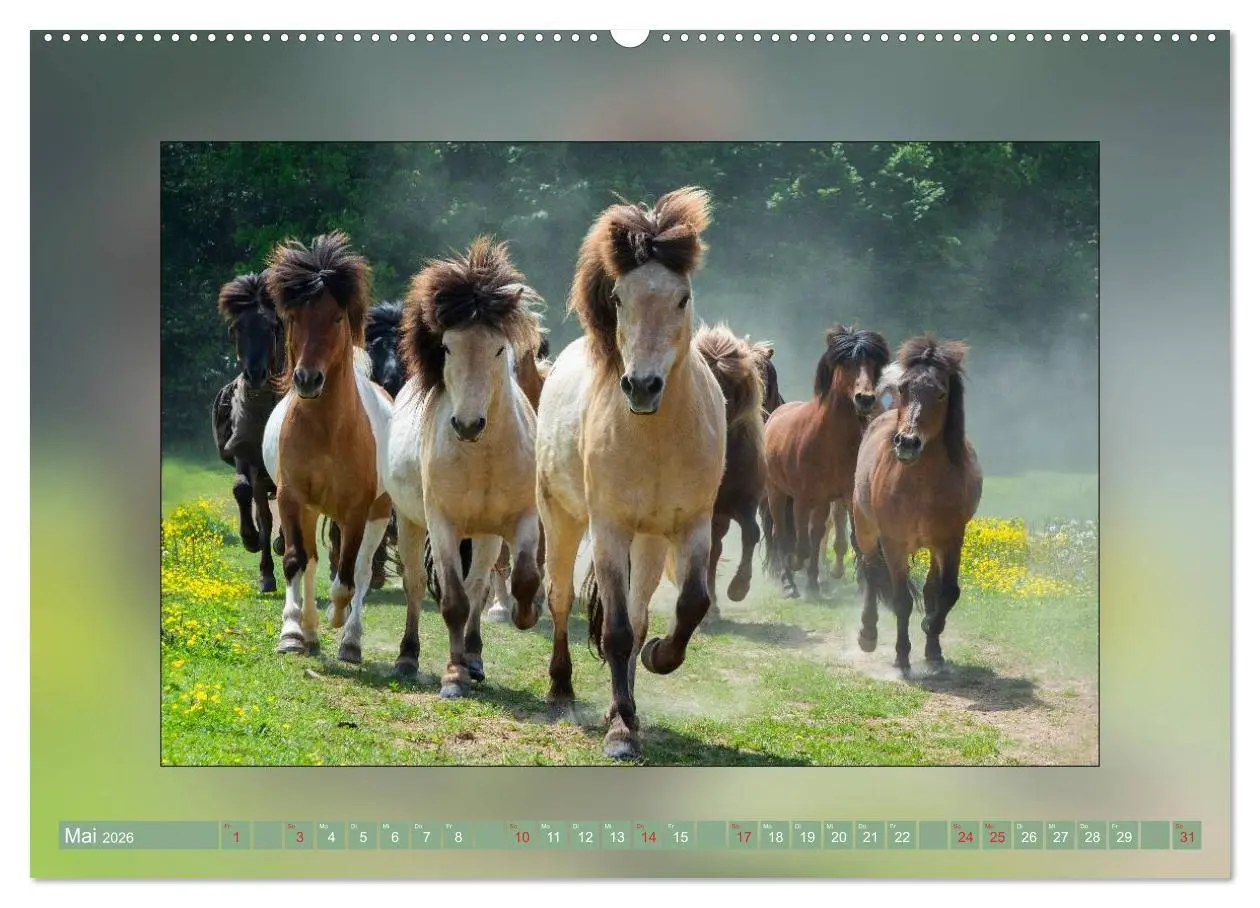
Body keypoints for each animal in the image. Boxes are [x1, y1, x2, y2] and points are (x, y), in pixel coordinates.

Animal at [261, 230, 394, 664]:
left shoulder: (356, 511)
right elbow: (295, 562)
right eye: (294, 318)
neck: (327, 431)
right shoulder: (291, 497)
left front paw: (339, 622)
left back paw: (349, 639)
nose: (307, 379)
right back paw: (310, 631)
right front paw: (291, 633)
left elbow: (347, 579)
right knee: (313, 562)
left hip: (378, 513)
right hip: (309, 508)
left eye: (336, 317)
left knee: (362, 571)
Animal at [385, 236, 545, 697]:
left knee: (478, 587)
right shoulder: (442, 525)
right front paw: (453, 676)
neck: (483, 457)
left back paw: (473, 656)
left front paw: (525, 614)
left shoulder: (522, 518)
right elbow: (453, 602)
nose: (469, 424)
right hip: (410, 522)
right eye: (448, 347)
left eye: (499, 348)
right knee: (416, 586)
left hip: (487, 535)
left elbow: (520, 577)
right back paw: (408, 657)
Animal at [535, 186, 726, 761]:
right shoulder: (609, 528)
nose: (642, 386)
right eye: (619, 298)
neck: (657, 438)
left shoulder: (692, 525)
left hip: (650, 542)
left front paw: (659, 658)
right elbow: (616, 632)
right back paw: (561, 691)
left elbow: (689, 604)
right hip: (563, 520)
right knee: (559, 599)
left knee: (641, 614)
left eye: (682, 298)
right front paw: (620, 731)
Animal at [761, 324, 891, 600]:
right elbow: (800, 541)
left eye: (873, 365)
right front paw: (798, 566)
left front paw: (815, 582)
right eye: (848, 363)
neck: (828, 439)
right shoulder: (802, 497)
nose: (865, 399)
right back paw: (789, 582)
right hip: (776, 492)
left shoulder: (844, 495)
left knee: (815, 532)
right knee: (780, 533)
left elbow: (834, 537)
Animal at [851, 337, 982, 675]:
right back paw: (867, 634)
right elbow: (901, 601)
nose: (907, 443)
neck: (921, 484)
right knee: (870, 573)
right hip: (866, 529)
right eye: (904, 388)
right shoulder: (893, 543)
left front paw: (931, 636)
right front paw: (901, 657)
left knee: (930, 588)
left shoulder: (951, 540)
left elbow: (946, 592)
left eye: (941, 393)